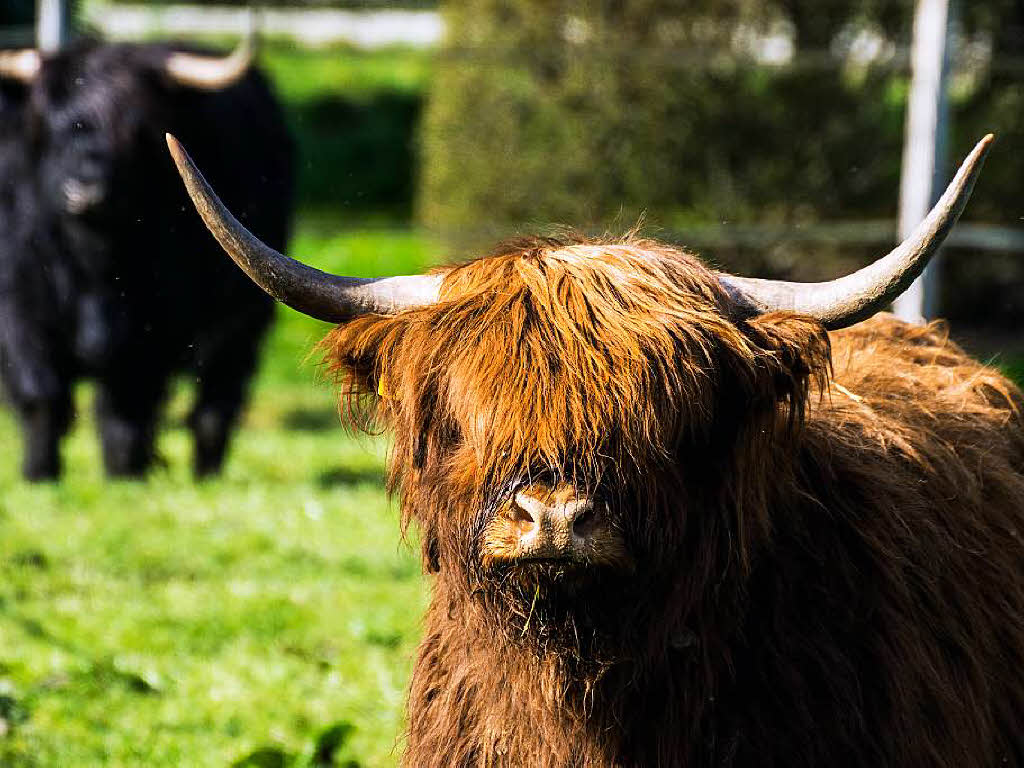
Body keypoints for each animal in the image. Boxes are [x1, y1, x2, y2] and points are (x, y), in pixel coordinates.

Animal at [0, 40, 294, 481]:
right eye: (48, 122)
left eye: (135, 128)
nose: (85, 187)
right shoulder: (20, 305)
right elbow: (41, 393)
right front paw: (39, 474)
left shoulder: (152, 325)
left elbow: (127, 405)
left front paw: (125, 473)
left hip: (240, 318)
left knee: (214, 403)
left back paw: (205, 473)